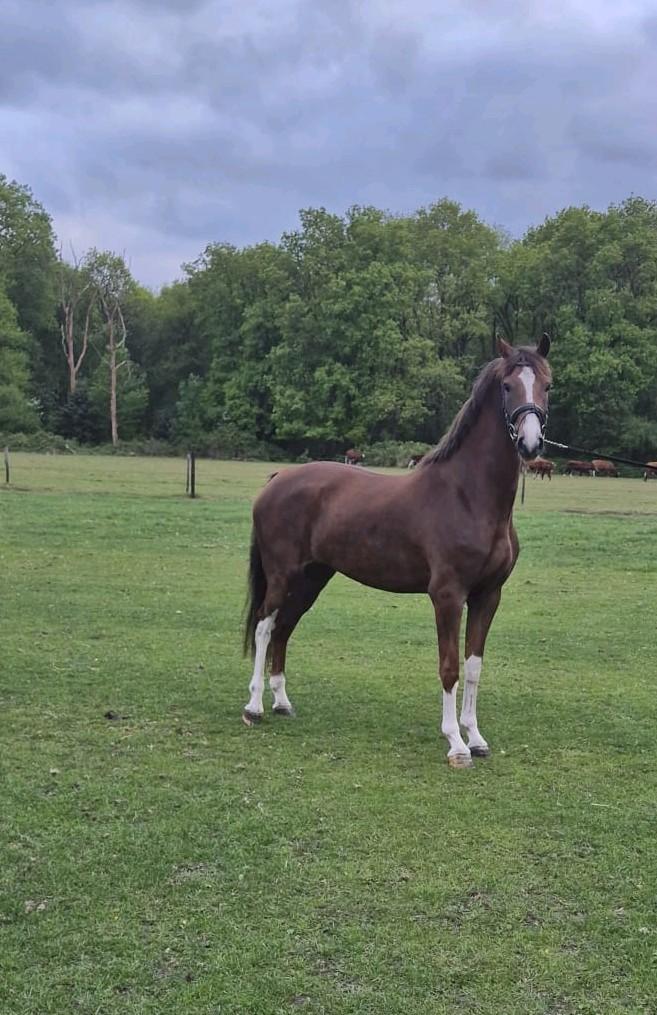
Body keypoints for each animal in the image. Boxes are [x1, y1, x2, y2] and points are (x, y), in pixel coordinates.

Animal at [242, 335, 552, 768]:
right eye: (507, 386)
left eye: (547, 385)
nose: (530, 443)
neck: (469, 496)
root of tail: (278, 478)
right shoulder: (448, 596)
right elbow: (449, 667)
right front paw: (455, 744)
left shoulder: (488, 595)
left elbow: (473, 667)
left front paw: (475, 738)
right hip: (282, 574)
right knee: (264, 625)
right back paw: (253, 707)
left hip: (311, 579)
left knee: (284, 628)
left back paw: (282, 703)